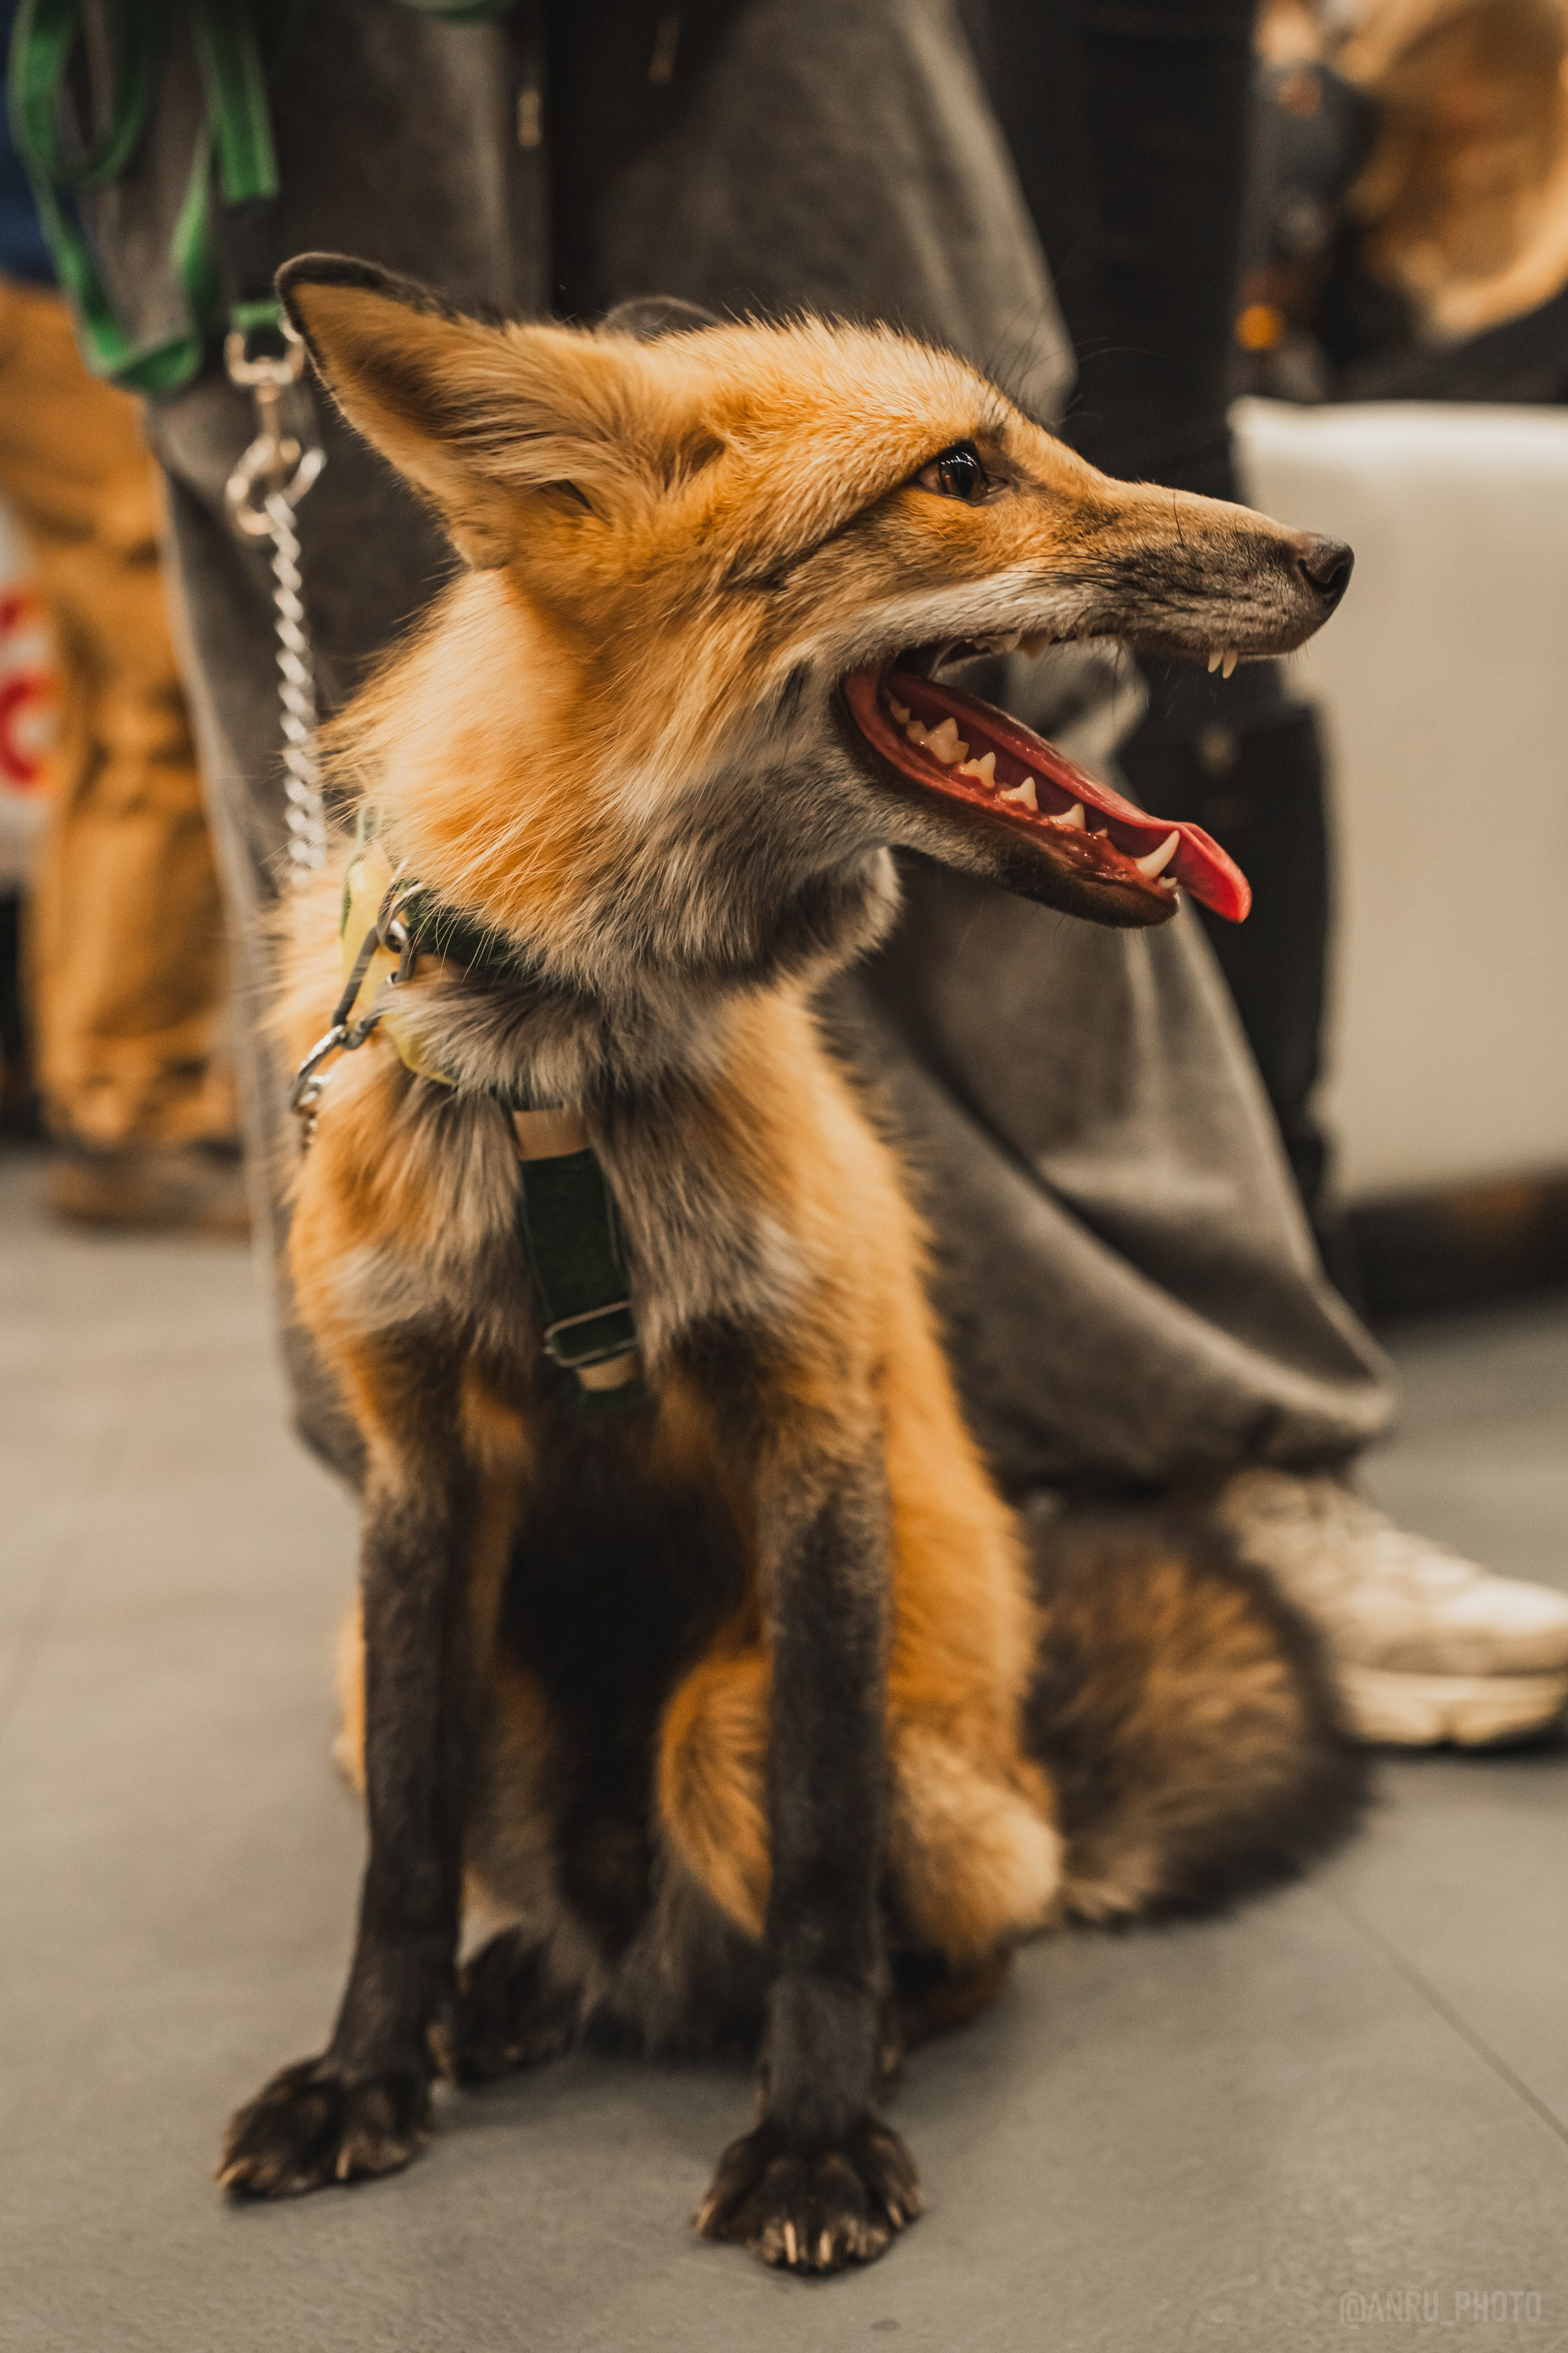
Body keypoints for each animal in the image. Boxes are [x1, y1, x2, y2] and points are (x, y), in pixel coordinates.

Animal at [218, 254, 1364, 2274]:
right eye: (961, 472)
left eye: (1022, 440)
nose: (1328, 552)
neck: (564, 1082)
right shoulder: (413, 1456)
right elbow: (401, 1860)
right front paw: (367, 2073)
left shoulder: (811, 1428)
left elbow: (826, 1867)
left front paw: (817, 2131)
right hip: (402, 1688)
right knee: (555, 1914)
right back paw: (518, 1989)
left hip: (722, 1725)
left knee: (942, 1933)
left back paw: (839, 2019)